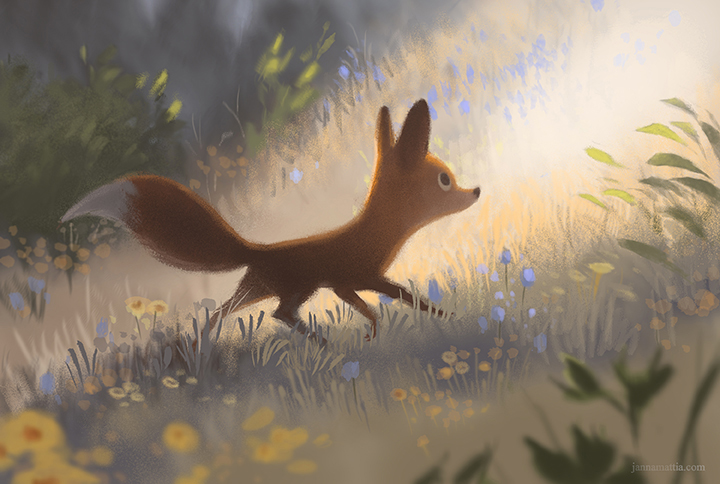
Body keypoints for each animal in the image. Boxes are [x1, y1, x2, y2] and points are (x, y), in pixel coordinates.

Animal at [61, 99, 480, 342]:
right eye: (444, 181)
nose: (475, 191)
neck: (375, 233)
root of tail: (253, 248)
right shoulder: (354, 279)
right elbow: (396, 302)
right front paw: (429, 320)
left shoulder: (354, 283)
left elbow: (392, 302)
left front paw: (437, 318)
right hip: (294, 288)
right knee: (281, 313)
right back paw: (319, 342)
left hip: (255, 289)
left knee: (221, 311)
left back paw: (203, 345)